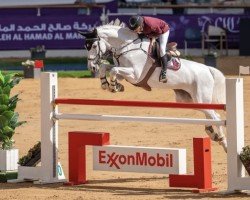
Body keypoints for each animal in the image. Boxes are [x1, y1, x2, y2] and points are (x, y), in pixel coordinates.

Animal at [79, 20, 228, 152]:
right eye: (86, 46)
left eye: (93, 46)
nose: (91, 67)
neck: (128, 47)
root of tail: (208, 69)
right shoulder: (126, 74)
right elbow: (106, 67)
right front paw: (107, 84)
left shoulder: (135, 75)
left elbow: (114, 70)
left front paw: (114, 86)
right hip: (189, 100)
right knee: (211, 115)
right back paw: (214, 135)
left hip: (200, 98)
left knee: (216, 117)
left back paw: (222, 140)